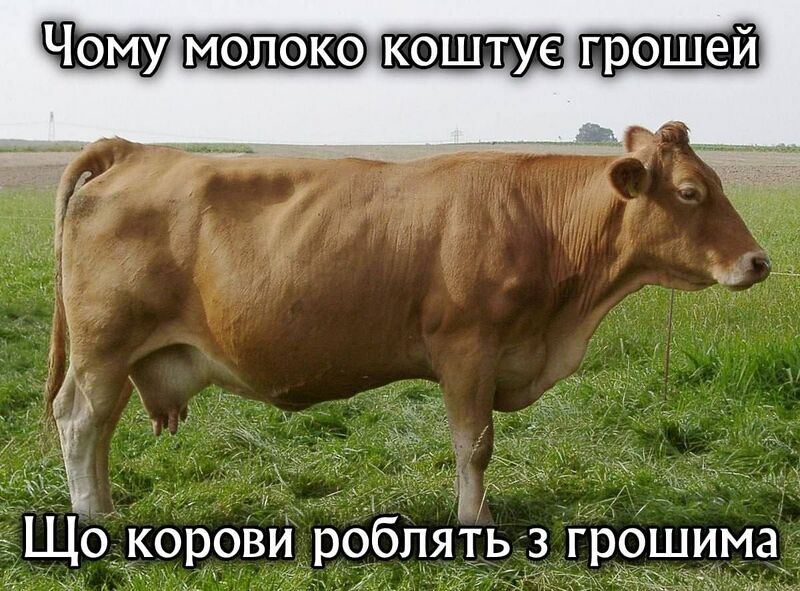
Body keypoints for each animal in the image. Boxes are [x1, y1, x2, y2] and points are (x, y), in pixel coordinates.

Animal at [45, 122, 769, 525]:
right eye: (691, 192)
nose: (759, 261)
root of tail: (135, 151)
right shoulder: (468, 348)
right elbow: (474, 444)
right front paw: (476, 520)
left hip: (119, 353)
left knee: (96, 427)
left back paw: (105, 506)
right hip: (103, 345)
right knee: (80, 421)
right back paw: (94, 516)